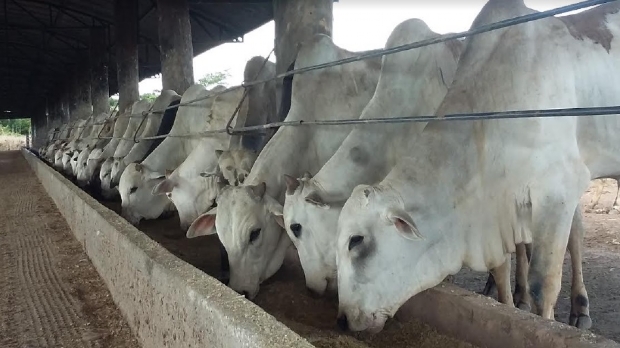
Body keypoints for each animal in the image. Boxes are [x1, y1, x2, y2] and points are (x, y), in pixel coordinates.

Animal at [336, 0, 620, 334]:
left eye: (356, 241)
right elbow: (501, 268)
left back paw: (580, 310)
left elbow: (543, 284)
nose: (342, 319)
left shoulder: (559, 190)